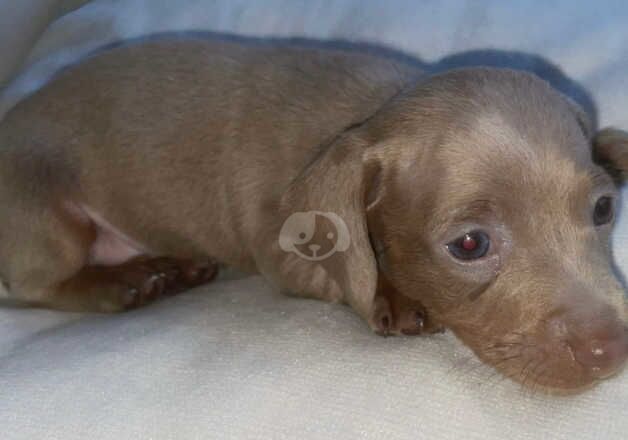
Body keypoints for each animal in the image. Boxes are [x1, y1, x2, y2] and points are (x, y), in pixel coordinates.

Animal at [1, 35, 628, 392]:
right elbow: (351, 276)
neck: (375, 107)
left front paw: (614, 143)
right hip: (44, 212)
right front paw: (393, 296)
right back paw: (128, 281)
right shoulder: (282, 250)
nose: (613, 349)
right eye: (470, 245)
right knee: (36, 286)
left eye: (603, 208)